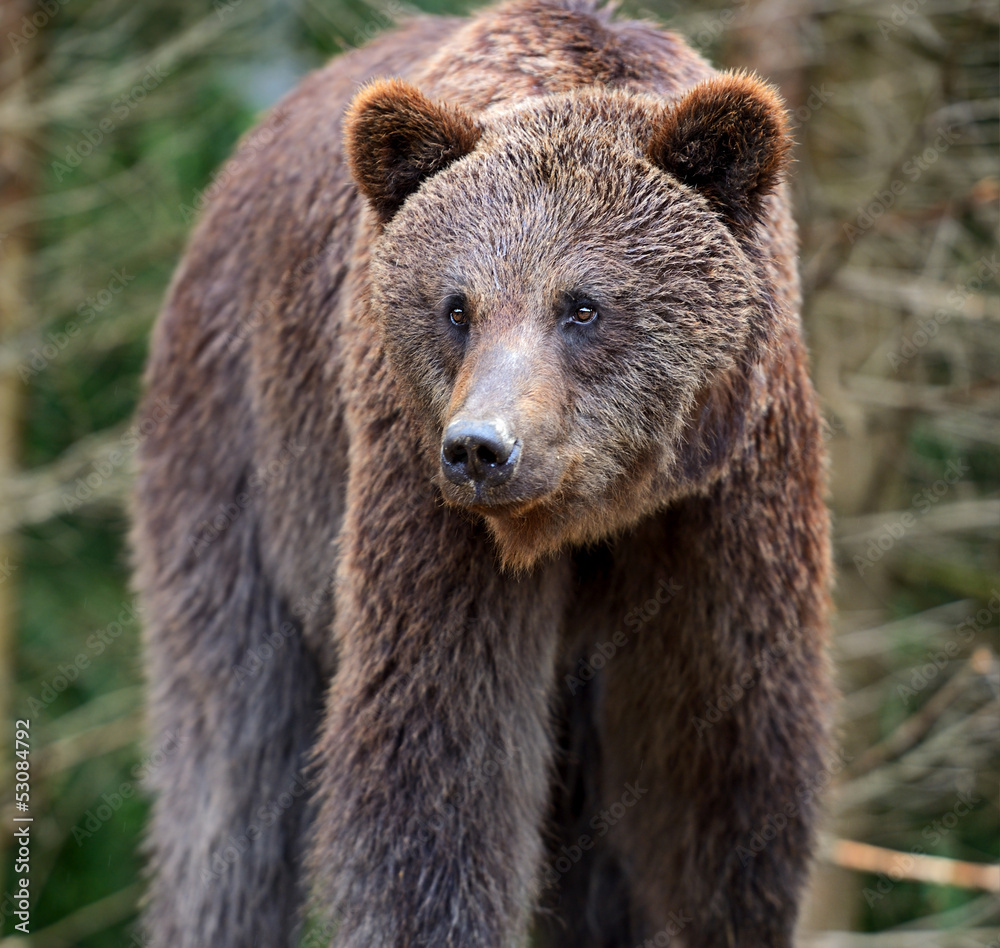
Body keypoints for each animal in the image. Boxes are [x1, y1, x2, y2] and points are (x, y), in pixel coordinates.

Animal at [130, 0, 834, 945]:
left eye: (583, 305)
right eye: (456, 305)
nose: (480, 447)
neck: (595, 515)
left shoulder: (727, 505)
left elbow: (724, 783)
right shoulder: (417, 492)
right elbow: (435, 772)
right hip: (232, 446)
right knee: (229, 755)